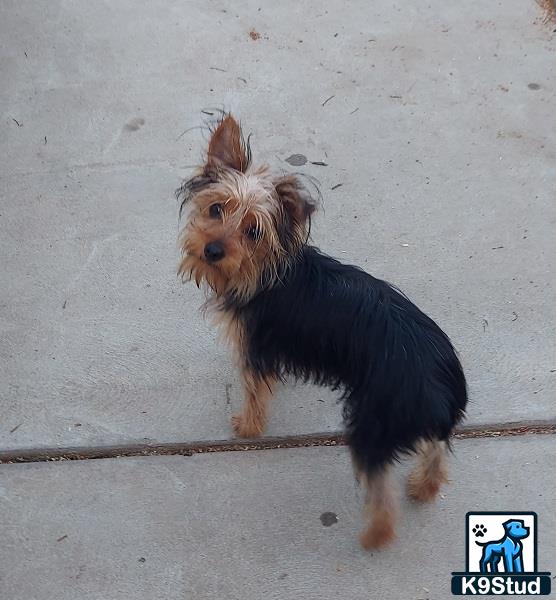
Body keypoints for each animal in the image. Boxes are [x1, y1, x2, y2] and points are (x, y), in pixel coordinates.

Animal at [177, 113, 464, 548]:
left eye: (253, 232)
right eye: (215, 209)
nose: (212, 250)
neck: (261, 271)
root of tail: (443, 387)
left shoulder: (255, 347)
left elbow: (255, 392)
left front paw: (248, 427)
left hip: (372, 421)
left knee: (382, 493)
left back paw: (375, 538)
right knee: (434, 452)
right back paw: (423, 488)